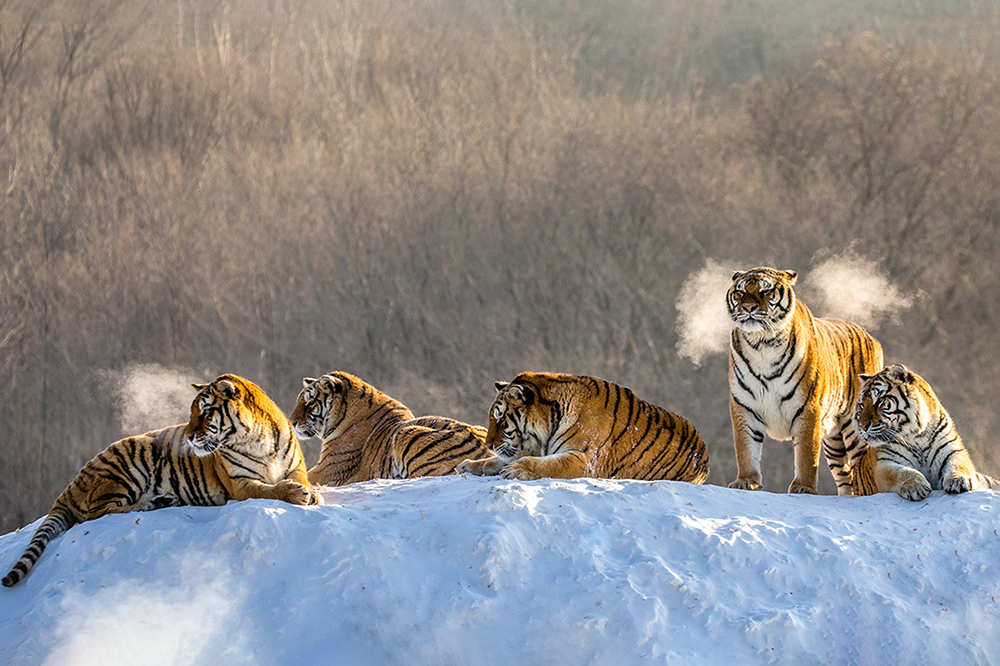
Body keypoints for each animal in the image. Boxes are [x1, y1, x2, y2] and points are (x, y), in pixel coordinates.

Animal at [0, 374, 320, 588]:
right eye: (191, 412)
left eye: (205, 412)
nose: (188, 437)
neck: (257, 439)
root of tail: (74, 482)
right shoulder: (239, 484)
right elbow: (269, 491)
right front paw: (296, 494)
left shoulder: (295, 467)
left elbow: (301, 479)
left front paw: (311, 493)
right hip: (128, 464)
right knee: (98, 513)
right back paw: (154, 503)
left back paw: (164, 500)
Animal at [458, 370, 708, 480]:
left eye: (500, 419)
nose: (488, 445)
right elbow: (500, 460)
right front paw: (468, 465)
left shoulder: (585, 460)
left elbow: (547, 465)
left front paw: (517, 470)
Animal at [728, 266, 884, 492]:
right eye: (739, 292)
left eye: (765, 291)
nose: (748, 307)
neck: (762, 344)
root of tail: (872, 338)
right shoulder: (744, 405)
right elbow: (745, 448)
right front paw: (746, 481)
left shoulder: (807, 407)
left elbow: (806, 455)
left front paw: (803, 488)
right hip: (834, 440)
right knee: (846, 477)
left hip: (855, 430)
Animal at [852, 364, 1000, 498]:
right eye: (861, 405)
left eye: (880, 401)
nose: (862, 426)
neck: (917, 437)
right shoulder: (884, 463)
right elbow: (901, 472)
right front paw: (916, 486)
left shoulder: (953, 451)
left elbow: (958, 465)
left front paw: (958, 481)